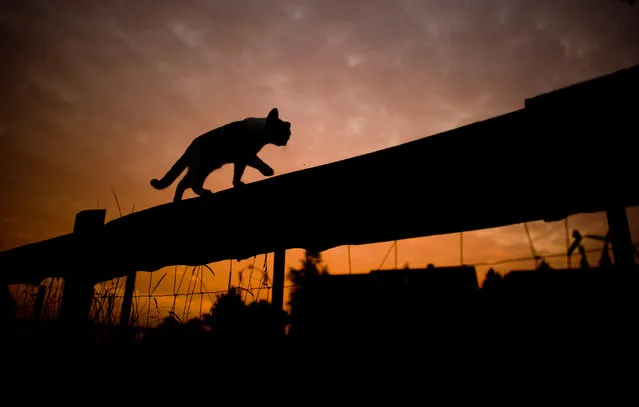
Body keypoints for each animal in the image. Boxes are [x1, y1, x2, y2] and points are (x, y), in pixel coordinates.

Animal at [150, 107, 292, 202]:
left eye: (288, 134)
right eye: (283, 132)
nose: (286, 142)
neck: (258, 134)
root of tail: (189, 147)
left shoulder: (240, 160)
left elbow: (237, 174)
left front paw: (237, 183)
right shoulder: (246, 154)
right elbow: (258, 162)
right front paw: (268, 171)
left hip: (204, 169)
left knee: (187, 183)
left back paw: (186, 198)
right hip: (201, 166)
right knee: (188, 183)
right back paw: (193, 195)